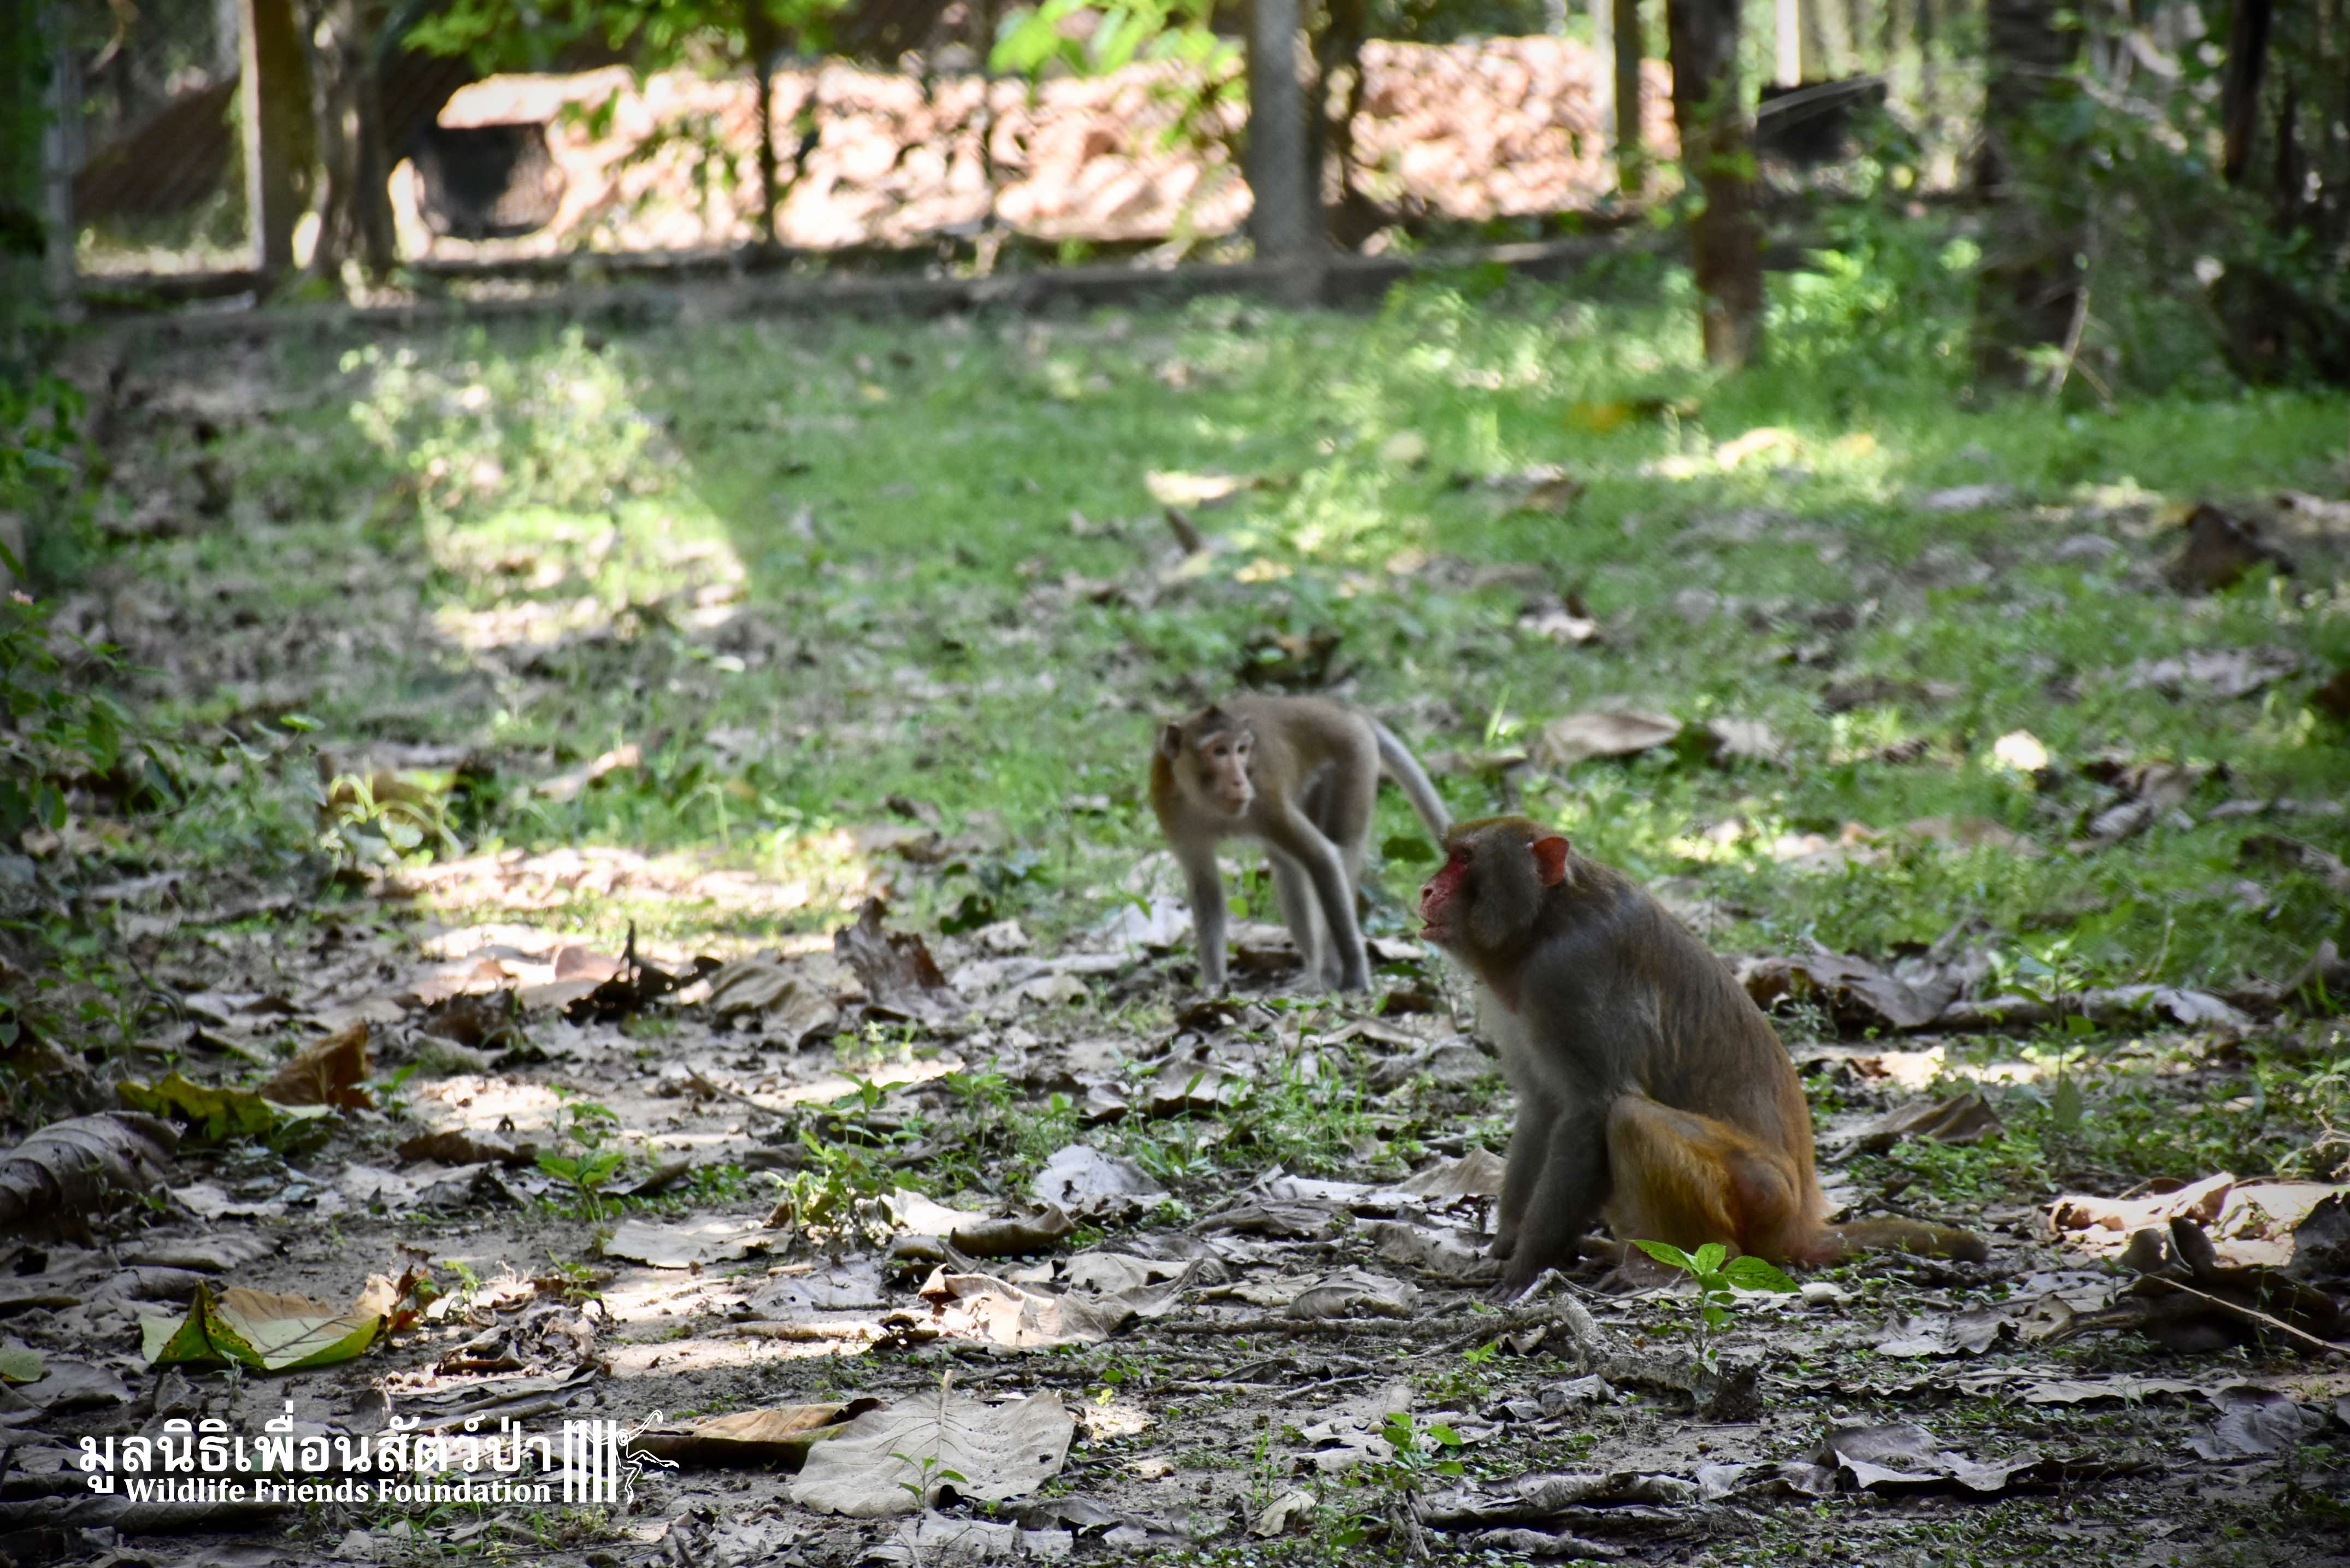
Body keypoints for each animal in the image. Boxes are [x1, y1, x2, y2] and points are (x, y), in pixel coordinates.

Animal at [1151, 695, 1451, 994]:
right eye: (1220, 751)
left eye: (1241, 750)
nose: (1240, 781)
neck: (1206, 803)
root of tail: (1339, 707)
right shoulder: (1172, 814)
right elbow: (1206, 887)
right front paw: (1214, 986)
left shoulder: (1266, 803)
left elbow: (1323, 858)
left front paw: (1357, 976)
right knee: (1286, 865)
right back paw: (1315, 972)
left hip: (1355, 758)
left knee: (1344, 848)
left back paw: (1329, 972)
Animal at [1417, 816, 1987, 1293]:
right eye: (1450, 856)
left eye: (1464, 859)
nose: (1425, 889)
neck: (1543, 924)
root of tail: (1800, 1217)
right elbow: (1543, 1104)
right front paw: (1506, 1243)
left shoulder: (1569, 974)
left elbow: (1591, 1109)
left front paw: (1527, 1265)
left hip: (1758, 1196)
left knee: (1631, 1120)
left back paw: (1664, 1265)